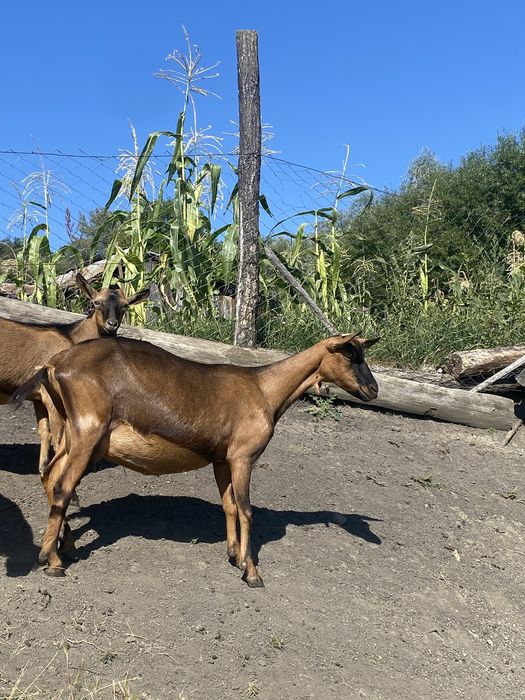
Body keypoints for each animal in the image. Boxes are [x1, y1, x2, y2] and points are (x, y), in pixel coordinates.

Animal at [1, 273, 149, 476]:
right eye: (96, 302)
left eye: (125, 305)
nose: (111, 325)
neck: (72, 339)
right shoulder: (52, 396)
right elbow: (60, 435)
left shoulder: (38, 395)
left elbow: (45, 431)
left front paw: (43, 468)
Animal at [13, 332, 379, 586]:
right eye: (350, 353)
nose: (373, 390)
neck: (264, 389)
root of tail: (55, 365)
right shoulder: (243, 455)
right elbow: (246, 510)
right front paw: (252, 572)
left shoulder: (222, 459)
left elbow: (229, 505)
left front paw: (234, 554)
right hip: (88, 432)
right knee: (62, 485)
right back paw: (52, 560)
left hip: (73, 435)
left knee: (50, 476)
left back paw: (65, 546)